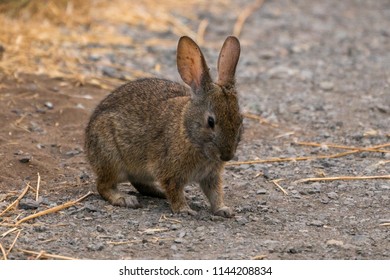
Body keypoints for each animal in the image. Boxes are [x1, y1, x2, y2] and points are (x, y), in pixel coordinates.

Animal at [86, 35, 241, 219]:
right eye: (210, 122)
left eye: (240, 119)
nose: (227, 156)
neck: (187, 132)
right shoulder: (170, 172)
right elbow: (175, 191)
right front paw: (184, 210)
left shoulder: (211, 176)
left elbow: (215, 193)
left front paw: (223, 210)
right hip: (111, 158)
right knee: (103, 185)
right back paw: (124, 199)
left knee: (139, 184)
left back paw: (158, 193)